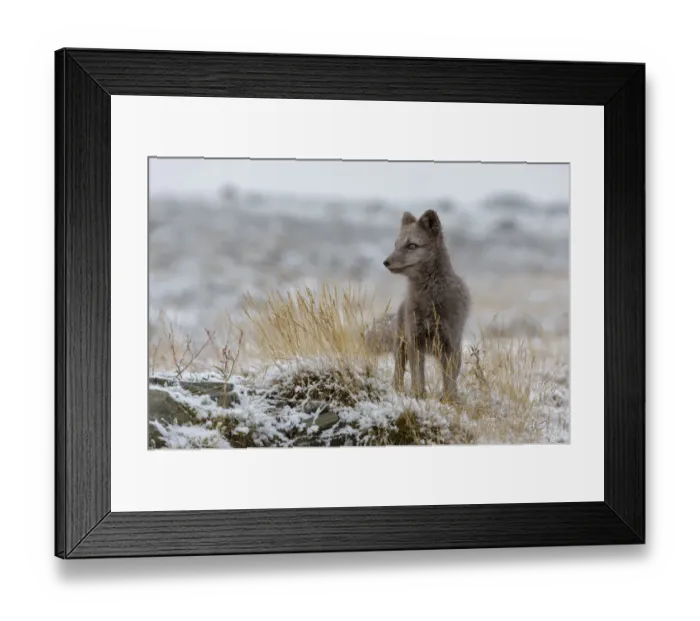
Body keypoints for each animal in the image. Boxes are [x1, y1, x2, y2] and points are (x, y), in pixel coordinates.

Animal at [365, 209, 470, 401]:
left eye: (412, 245)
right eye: (396, 244)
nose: (385, 262)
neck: (430, 299)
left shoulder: (450, 344)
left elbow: (449, 381)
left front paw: (450, 400)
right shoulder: (415, 341)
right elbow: (417, 377)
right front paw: (418, 396)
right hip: (401, 348)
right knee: (398, 375)